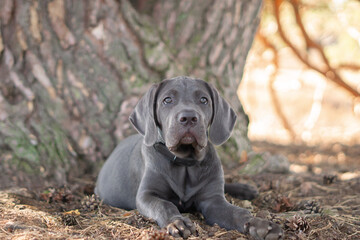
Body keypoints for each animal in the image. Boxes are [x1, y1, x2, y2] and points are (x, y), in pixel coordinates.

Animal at [95, 76, 284, 238]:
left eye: (204, 100)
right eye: (167, 100)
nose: (188, 118)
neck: (185, 163)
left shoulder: (213, 200)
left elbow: (237, 212)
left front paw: (260, 224)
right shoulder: (146, 195)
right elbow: (164, 205)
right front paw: (177, 222)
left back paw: (246, 189)